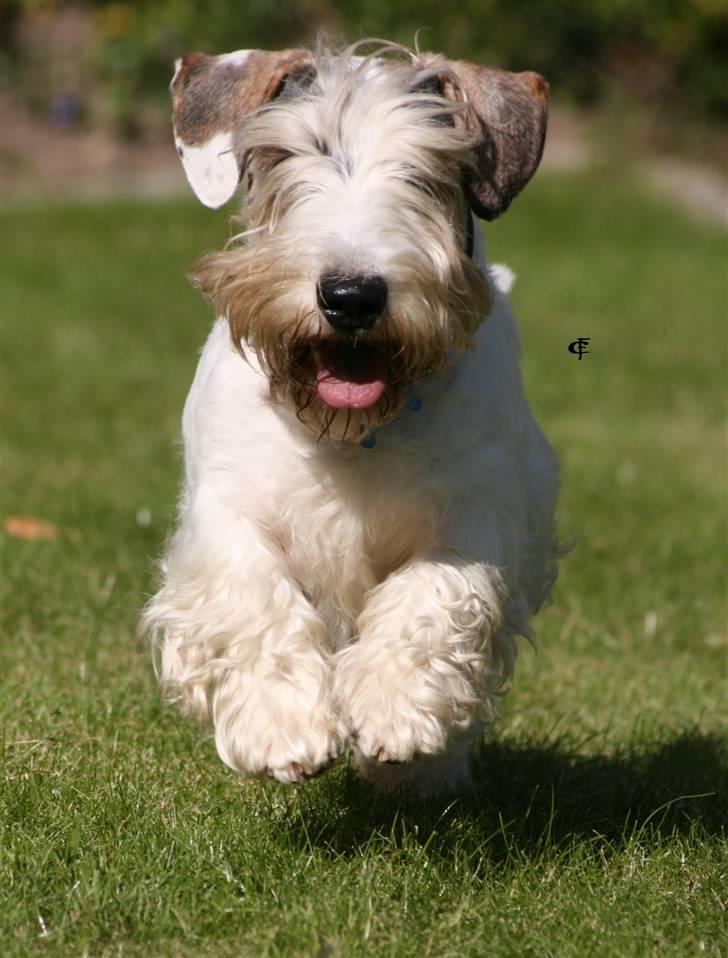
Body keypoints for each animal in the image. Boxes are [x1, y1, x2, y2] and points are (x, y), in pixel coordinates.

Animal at [144, 39, 564, 796]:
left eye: (428, 173)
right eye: (288, 156)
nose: (352, 295)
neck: (349, 436)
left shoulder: (478, 513)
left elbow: (433, 595)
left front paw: (395, 711)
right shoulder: (226, 507)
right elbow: (253, 595)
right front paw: (282, 725)